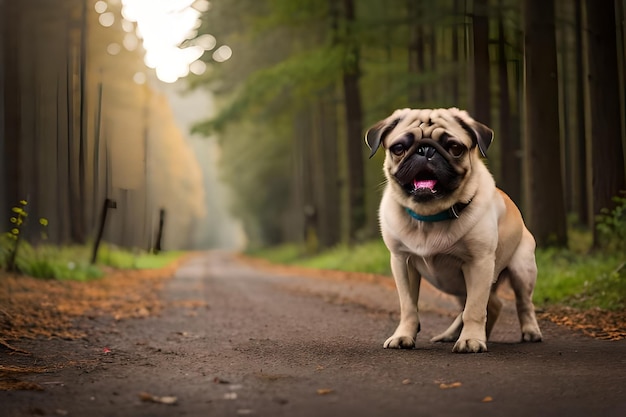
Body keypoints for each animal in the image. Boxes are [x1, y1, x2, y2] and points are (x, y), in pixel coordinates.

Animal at [364, 107, 540, 352]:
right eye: (399, 148)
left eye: (455, 148)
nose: (425, 149)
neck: (429, 216)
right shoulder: (401, 262)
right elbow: (408, 306)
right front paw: (404, 335)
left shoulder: (479, 263)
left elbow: (474, 310)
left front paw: (471, 340)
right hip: (459, 286)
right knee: (491, 304)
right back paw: (451, 334)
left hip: (521, 270)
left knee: (522, 302)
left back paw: (530, 332)